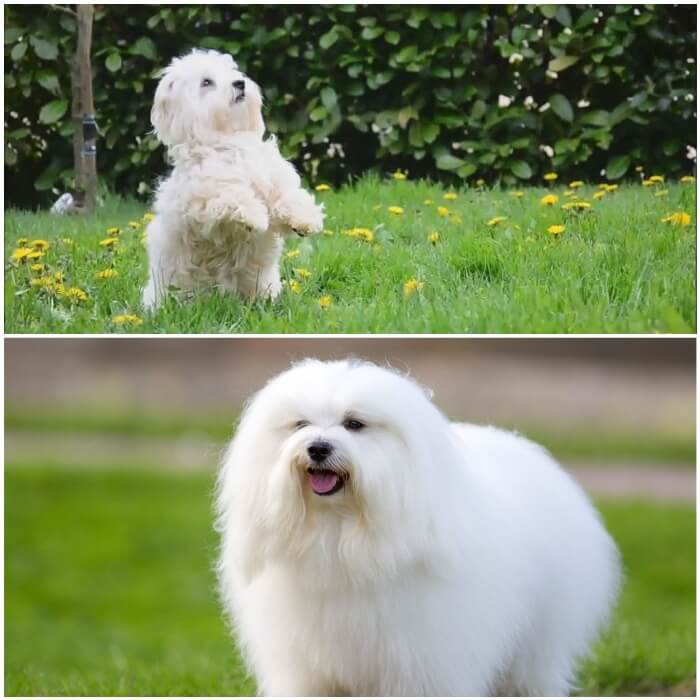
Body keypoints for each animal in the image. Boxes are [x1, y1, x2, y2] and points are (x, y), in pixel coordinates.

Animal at [146, 50, 326, 308]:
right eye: (207, 82)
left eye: (232, 72)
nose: (240, 83)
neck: (229, 139)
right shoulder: (202, 203)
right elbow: (232, 195)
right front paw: (255, 217)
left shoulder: (273, 180)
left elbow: (290, 197)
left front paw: (306, 220)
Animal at [216, 360, 620, 696]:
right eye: (300, 425)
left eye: (354, 424)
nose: (317, 447)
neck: (339, 530)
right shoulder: (308, 672)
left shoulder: (420, 665)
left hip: (538, 645)